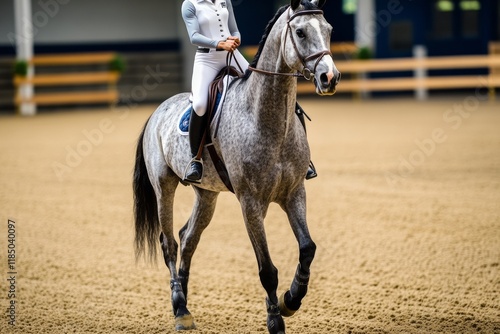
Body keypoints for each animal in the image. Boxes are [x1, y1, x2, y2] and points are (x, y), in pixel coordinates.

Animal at [134, 1, 340, 332]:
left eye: (329, 30)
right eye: (300, 32)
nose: (329, 77)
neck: (268, 120)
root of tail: (157, 111)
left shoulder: (294, 192)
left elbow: (308, 248)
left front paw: (291, 300)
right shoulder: (251, 202)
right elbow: (267, 268)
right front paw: (275, 320)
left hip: (207, 194)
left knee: (188, 238)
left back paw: (186, 303)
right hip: (163, 187)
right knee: (169, 243)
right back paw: (179, 308)